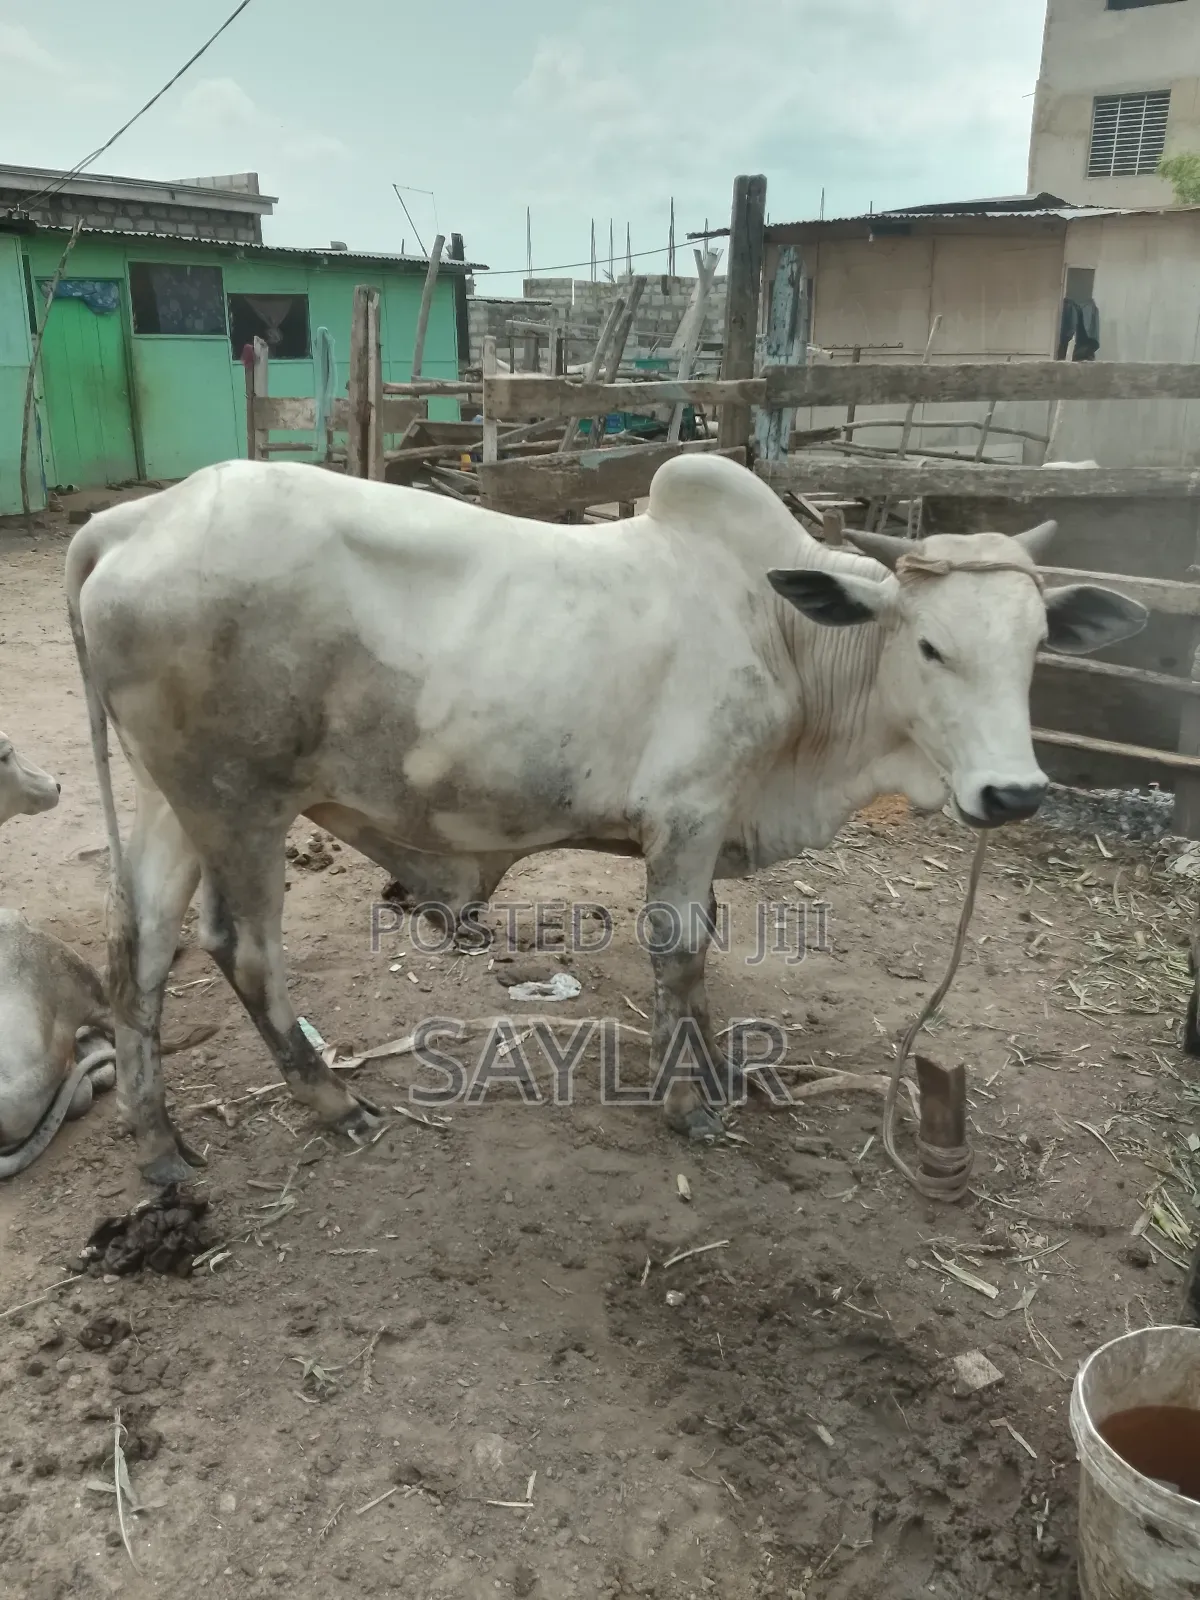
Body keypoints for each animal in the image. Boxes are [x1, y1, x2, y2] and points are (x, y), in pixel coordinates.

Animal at [65, 455, 1147, 1185]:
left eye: (1039, 646)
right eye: (929, 646)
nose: (1013, 793)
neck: (784, 633)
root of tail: (134, 520)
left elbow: (703, 957)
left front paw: (721, 1073)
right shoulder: (689, 810)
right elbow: (680, 954)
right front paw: (689, 1104)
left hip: (174, 801)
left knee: (140, 948)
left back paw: (159, 1144)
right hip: (239, 800)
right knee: (241, 951)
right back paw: (332, 1101)